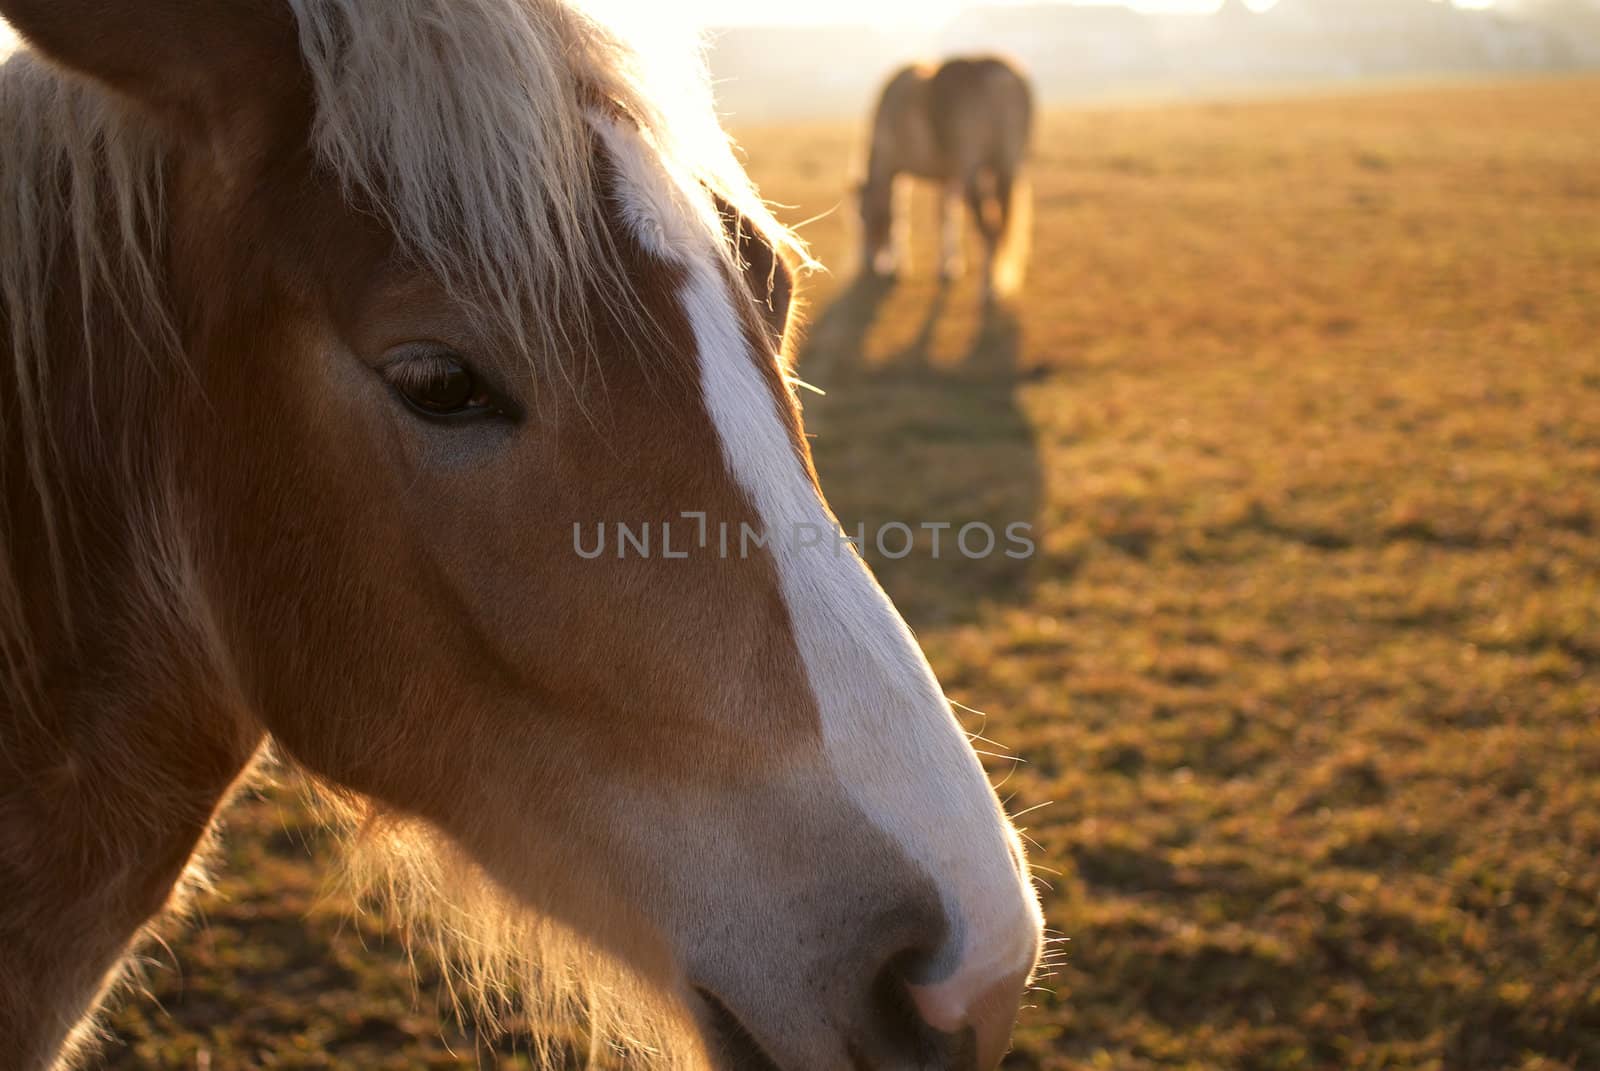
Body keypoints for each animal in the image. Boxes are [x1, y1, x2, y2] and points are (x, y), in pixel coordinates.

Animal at [857, 54, 1030, 296]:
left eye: (864, 215)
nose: (869, 262)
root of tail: (1000, 75)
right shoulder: (948, 179)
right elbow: (946, 217)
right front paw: (949, 266)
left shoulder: (897, 171)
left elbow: (898, 214)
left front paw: (899, 267)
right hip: (1007, 166)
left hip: (972, 174)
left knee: (989, 230)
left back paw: (987, 286)